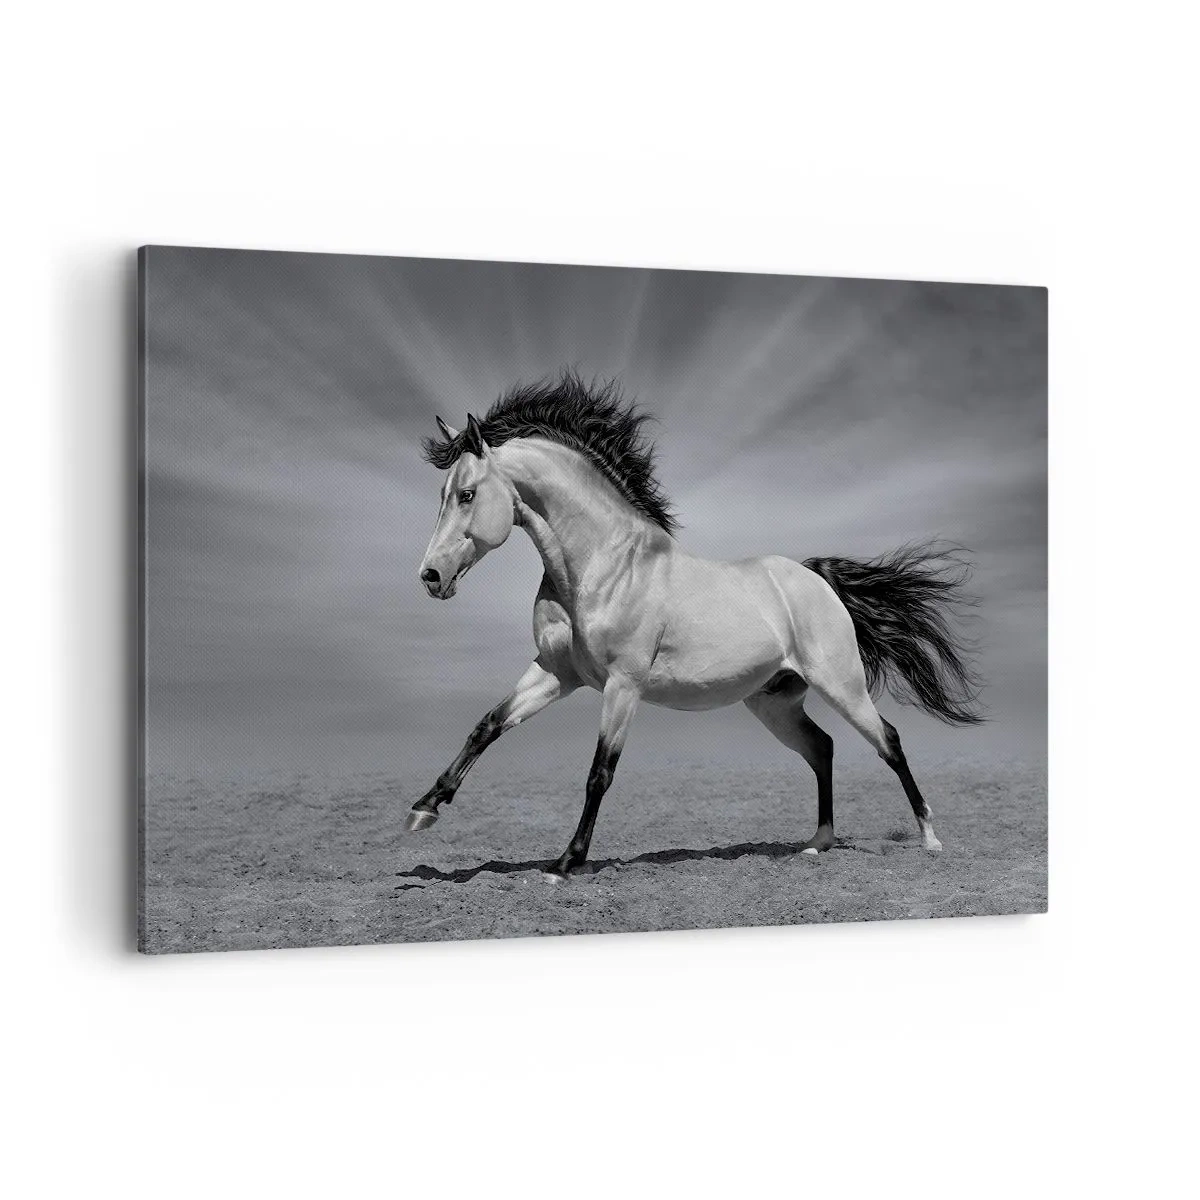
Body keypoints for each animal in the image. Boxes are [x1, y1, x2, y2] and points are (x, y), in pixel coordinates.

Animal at [409, 372, 982, 879]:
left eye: (465, 494)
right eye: (442, 494)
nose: (430, 576)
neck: (602, 565)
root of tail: (814, 578)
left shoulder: (622, 685)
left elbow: (599, 773)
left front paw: (566, 863)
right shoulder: (556, 673)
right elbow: (487, 725)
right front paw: (424, 808)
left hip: (842, 686)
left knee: (888, 741)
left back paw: (930, 837)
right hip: (774, 702)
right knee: (823, 747)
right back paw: (817, 843)